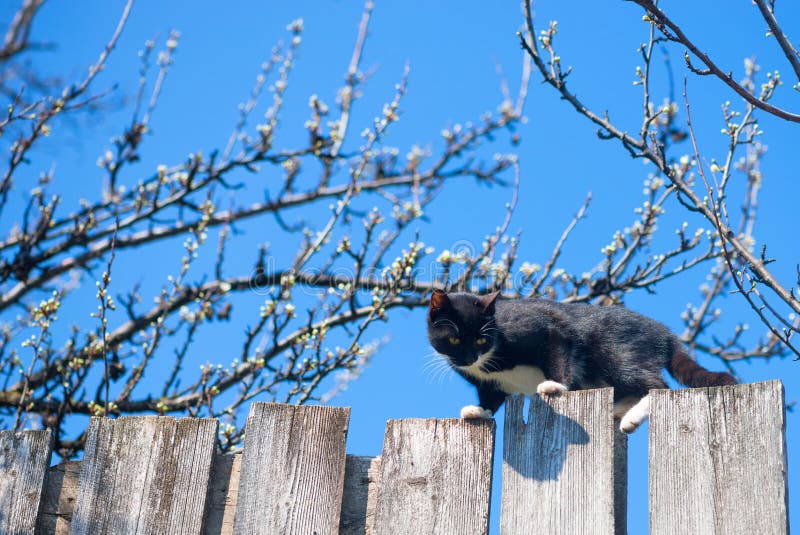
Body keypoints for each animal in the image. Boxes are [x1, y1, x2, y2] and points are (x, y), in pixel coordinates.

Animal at [424, 292, 736, 434]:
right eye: (454, 340)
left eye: (480, 340)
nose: (468, 358)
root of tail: (665, 334)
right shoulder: (488, 383)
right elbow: (491, 397)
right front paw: (478, 411)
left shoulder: (545, 330)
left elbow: (557, 347)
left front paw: (554, 385)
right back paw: (619, 411)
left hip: (616, 350)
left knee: (656, 385)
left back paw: (632, 417)